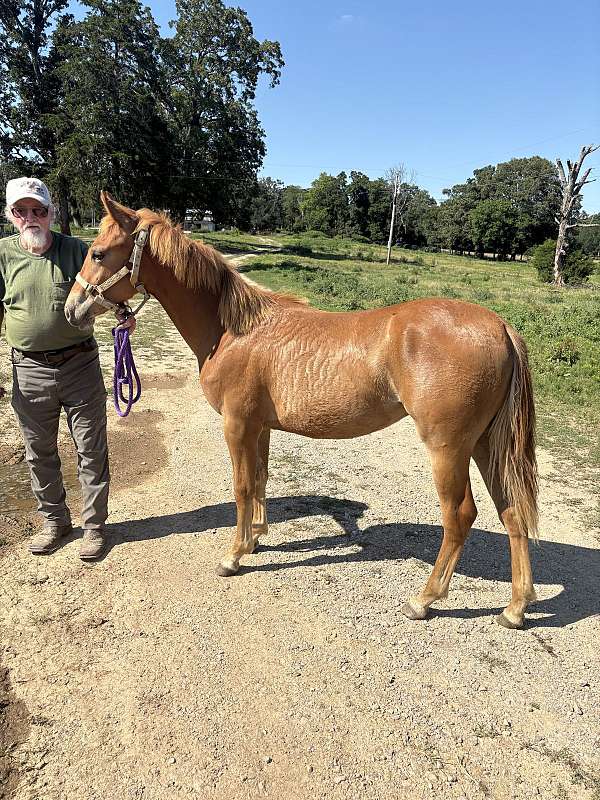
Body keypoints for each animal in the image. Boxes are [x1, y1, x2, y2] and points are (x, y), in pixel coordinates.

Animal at [65, 192, 539, 629]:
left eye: (98, 252)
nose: (71, 309)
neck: (233, 330)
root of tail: (501, 326)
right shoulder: (260, 427)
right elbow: (260, 479)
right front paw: (255, 539)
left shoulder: (237, 424)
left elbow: (241, 486)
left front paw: (233, 556)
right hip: (485, 446)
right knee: (512, 511)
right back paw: (515, 609)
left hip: (448, 448)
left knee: (459, 517)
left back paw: (424, 600)